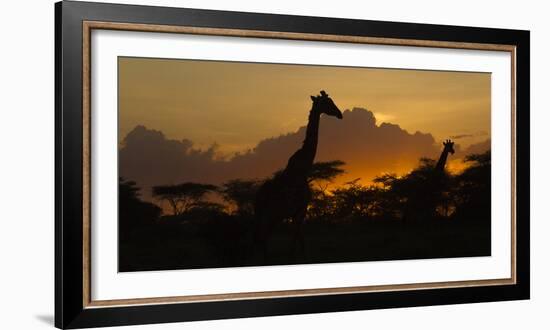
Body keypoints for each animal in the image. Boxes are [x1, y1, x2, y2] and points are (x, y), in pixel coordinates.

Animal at [256, 90, 342, 260]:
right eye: (327, 102)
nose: (339, 114)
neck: (303, 169)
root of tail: (259, 197)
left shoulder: (296, 213)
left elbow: (300, 242)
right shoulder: (301, 209)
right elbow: (296, 243)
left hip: (267, 215)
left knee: (262, 239)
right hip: (272, 214)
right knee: (262, 238)